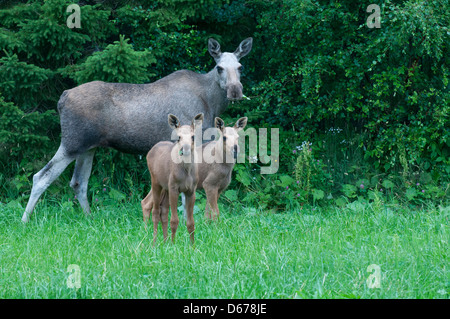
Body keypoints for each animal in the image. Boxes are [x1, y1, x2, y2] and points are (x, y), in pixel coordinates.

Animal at [21, 37, 251, 222]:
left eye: (240, 67)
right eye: (219, 67)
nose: (235, 90)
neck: (212, 101)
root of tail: (62, 98)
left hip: (88, 147)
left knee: (78, 182)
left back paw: (89, 218)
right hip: (72, 143)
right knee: (41, 177)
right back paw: (25, 221)